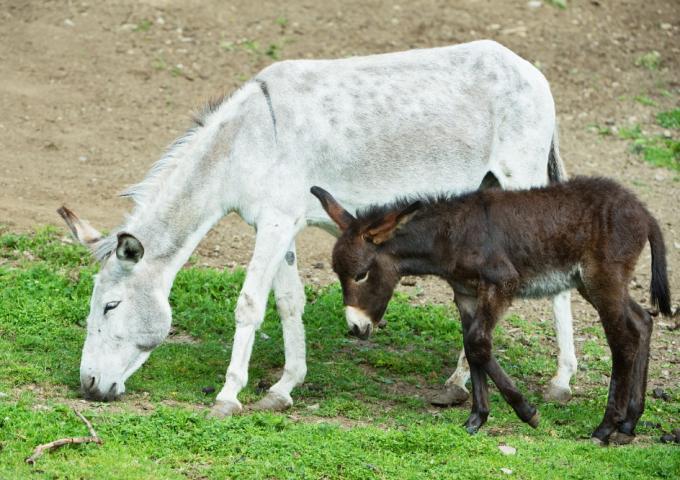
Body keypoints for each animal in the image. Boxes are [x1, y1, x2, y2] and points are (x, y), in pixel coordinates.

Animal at [310, 178, 672, 444]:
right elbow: (473, 349)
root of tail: (643, 211)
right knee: (642, 322)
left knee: (623, 341)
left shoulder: (501, 284)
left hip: (603, 281)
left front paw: (527, 413)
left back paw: (606, 428)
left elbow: (479, 344)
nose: (355, 328)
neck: (450, 237)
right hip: (592, 284)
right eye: (338, 274)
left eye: (361, 275)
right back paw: (629, 425)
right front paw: (476, 419)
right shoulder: (466, 295)